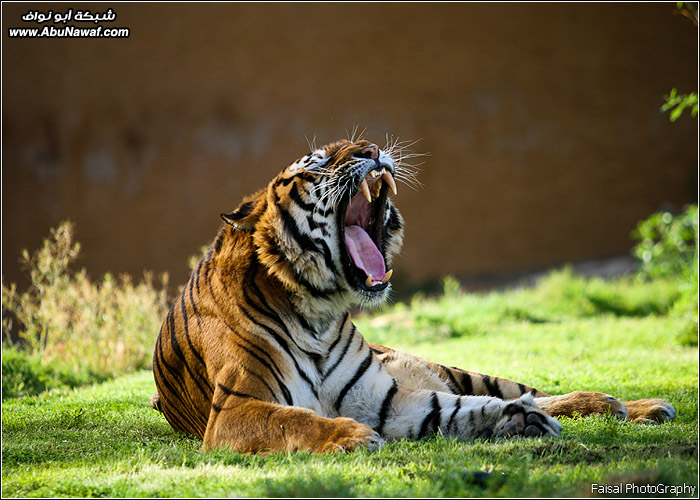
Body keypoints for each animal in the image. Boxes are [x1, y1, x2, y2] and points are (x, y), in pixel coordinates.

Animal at [150, 137, 676, 454]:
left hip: (454, 368)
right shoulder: (236, 409)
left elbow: (457, 408)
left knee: (532, 390)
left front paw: (518, 419)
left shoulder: (384, 397)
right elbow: (294, 421)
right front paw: (350, 435)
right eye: (318, 162)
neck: (319, 311)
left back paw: (629, 405)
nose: (372, 148)